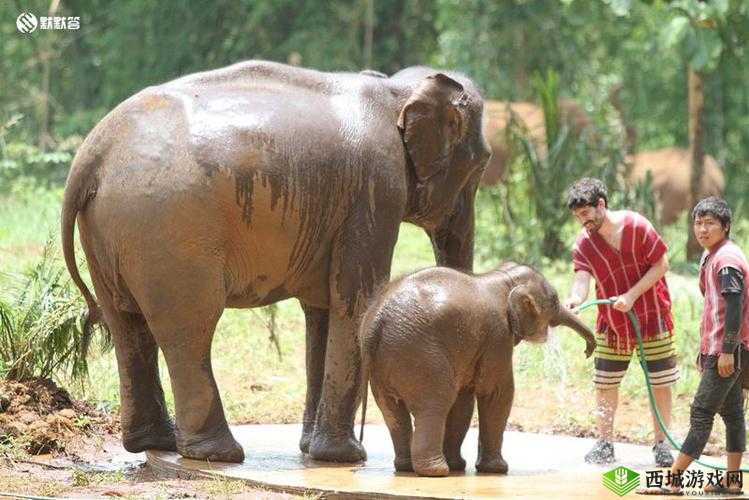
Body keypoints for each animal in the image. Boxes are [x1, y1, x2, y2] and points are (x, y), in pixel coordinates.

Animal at [61, 61, 492, 464]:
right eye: (483, 162)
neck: (395, 90)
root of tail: (91, 156)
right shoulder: (376, 189)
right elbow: (355, 300)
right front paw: (345, 457)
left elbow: (323, 309)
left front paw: (311, 452)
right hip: (168, 228)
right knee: (190, 328)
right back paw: (218, 453)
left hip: (111, 232)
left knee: (127, 325)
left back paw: (154, 443)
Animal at [358, 262, 595, 477]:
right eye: (554, 300)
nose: (589, 349)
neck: (504, 278)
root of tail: (377, 319)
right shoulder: (498, 336)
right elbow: (497, 394)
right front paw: (497, 470)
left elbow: (463, 401)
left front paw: (460, 466)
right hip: (420, 355)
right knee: (436, 403)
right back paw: (436, 472)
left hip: (385, 362)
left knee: (393, 411)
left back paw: (407, 467)